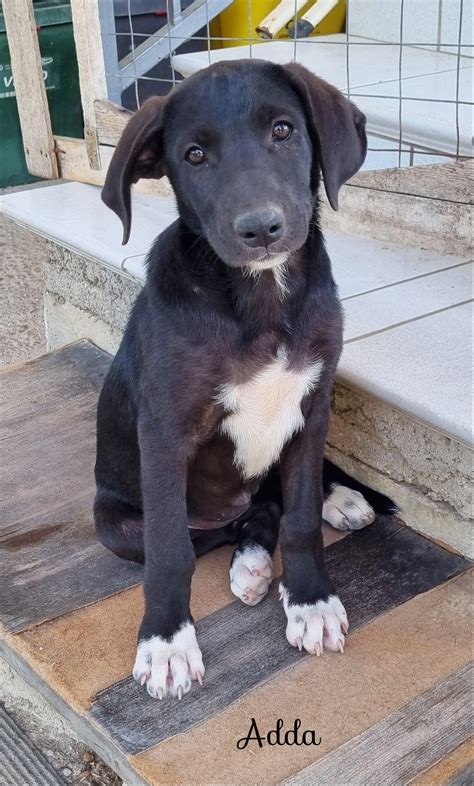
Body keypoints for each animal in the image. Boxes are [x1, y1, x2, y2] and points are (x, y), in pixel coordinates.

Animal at [94, 59, 394, 700]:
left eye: (283, 130)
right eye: (195, 155)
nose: (260, 229)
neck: (262, 298)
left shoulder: (312, 408)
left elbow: (300, 518)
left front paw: (310, 600)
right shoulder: (165, 434)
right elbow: (170, 552)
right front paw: (166, 641)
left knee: (272, 505)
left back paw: (330, 505)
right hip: (115, 522)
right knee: (220, 529)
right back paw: (251, 563)